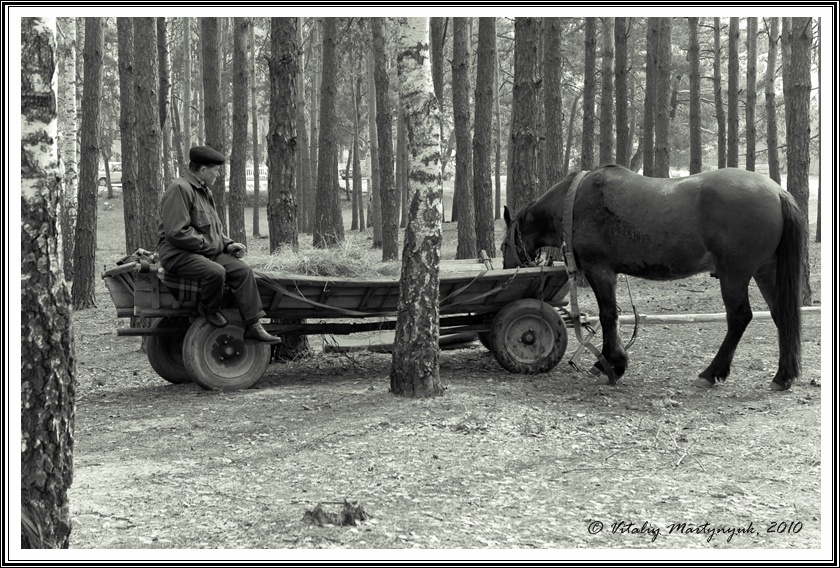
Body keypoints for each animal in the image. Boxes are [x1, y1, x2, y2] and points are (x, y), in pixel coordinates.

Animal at [502, 164, 806, 391]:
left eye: (504, 244)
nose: (507, 271)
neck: (574, 200)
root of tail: (778, 192)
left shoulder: (599, 270)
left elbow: (608, 315)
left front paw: (612, 365)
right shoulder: (609, 273)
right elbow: (613, 316)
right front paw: (608, 362)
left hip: (735, 274)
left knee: (740, 318)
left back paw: (711, 373)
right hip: (766, 271)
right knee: (781, 315)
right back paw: (783, 376)